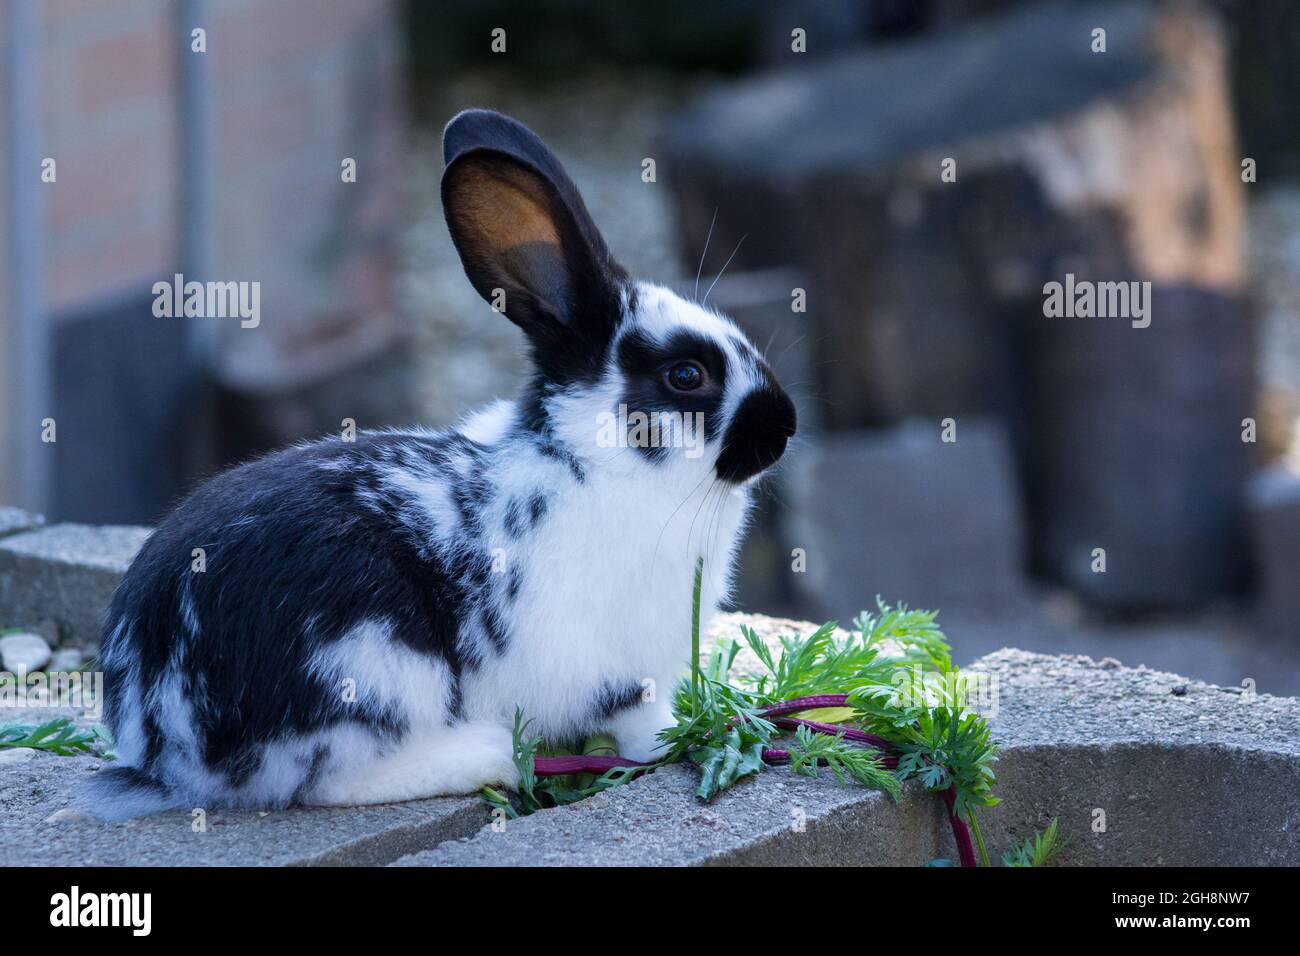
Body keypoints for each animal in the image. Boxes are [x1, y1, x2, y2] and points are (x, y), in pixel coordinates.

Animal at [89, 109, 796, 818]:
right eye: (687, 375)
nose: (785, 426)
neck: (593, 461)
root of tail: (162, 744)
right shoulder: (623, 672)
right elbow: (643, 726)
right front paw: (684, 740)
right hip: (378, 670)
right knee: (331, 781)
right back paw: (490, 755)